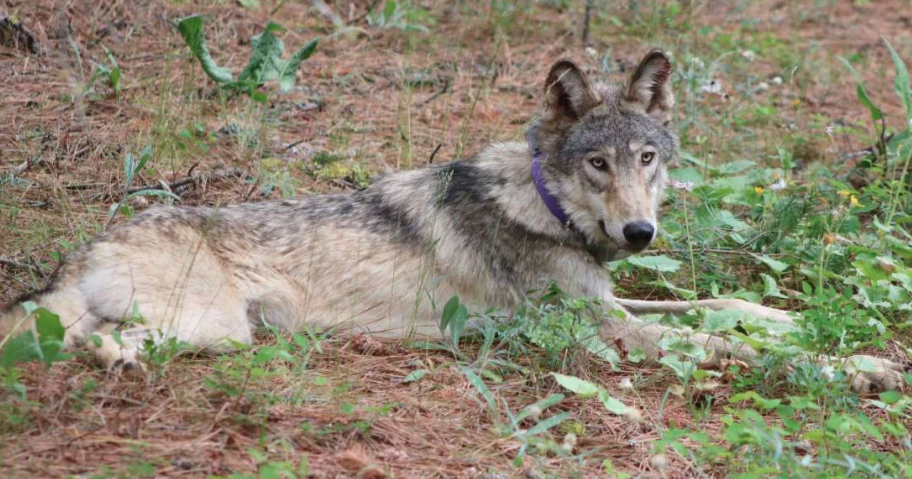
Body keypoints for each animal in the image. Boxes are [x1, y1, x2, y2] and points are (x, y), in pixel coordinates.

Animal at [1, 50, 904, 392]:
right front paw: (860, 366)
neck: (542, 205)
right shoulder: (606, 331)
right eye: (598, 165)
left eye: (647, 159)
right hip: (217, 327)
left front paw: (790, 320)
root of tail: (84, 248)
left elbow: (722, 306)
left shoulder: (610, 303)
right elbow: (724, 346)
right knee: (90, 341)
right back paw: (117, 360)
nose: (639, 235)